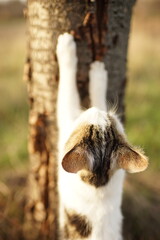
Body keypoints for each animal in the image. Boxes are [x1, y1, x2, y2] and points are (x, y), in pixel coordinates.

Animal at [55, 33, 148, 240]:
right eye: (109, 120)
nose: (96, 110)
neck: (99, 181)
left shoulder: (66, 121)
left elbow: (69, 92)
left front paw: (68, 49)